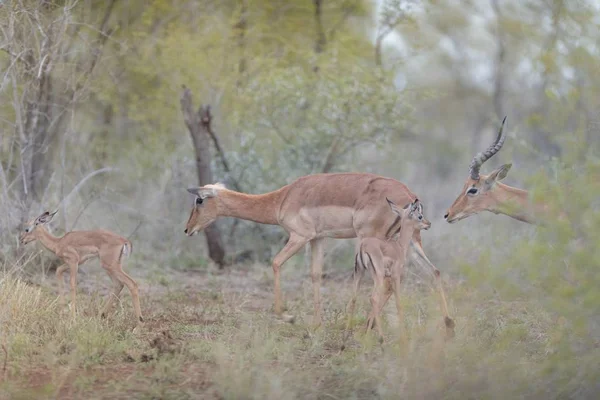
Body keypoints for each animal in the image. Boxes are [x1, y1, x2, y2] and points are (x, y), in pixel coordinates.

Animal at [344, 200, 452, 346]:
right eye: (419, 215)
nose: (428, 223)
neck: (399, 246)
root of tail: (363, 247)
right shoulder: (395, 276)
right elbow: (399, 304)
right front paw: (403, 338)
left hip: (359, 273)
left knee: (354, 299)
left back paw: (345, 341)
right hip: (378, 276)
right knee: (373, 298)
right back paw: (380, 340)